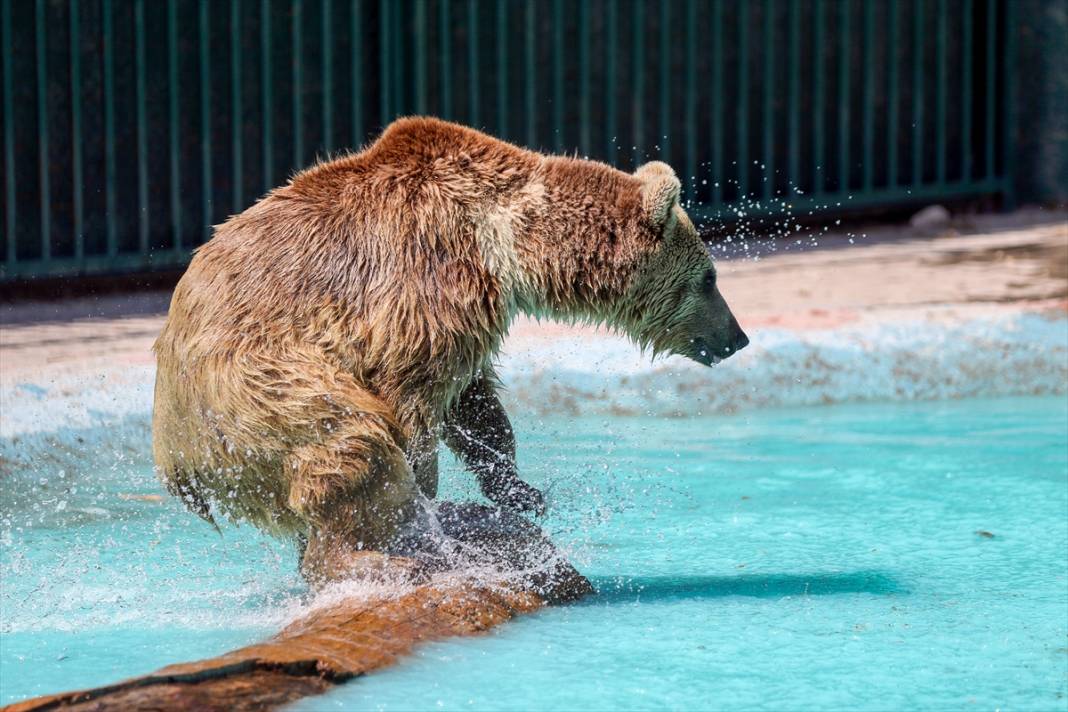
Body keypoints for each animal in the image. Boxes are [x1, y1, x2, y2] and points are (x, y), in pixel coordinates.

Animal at [152, 116, 751, 580]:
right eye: (710, 278)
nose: (737, 338)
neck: (506, 239)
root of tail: (171, 456)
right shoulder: (427, 279)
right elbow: (412, 406)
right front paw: (429, 513)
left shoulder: (469, 319)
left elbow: (474, 406)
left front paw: (522, 491)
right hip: (254, 389)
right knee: (347, 438)